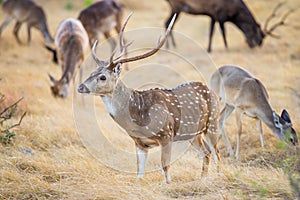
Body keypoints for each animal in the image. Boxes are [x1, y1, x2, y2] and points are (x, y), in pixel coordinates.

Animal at [77, 14, 220, 182]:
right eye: (91, 73)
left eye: (102, 77)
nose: (81, 87)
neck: (138, 117)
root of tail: (211, 90)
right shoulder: (139, 142)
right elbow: (139, 171)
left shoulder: (166, 134)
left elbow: (165, 166)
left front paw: (168, 184)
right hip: (193, 133)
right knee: (206, 152)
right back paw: (202, 179)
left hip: (213, 122)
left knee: (216, 152)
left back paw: (218, 175)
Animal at [164, 0, 292, 52]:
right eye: (261, 36)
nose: (255, 45)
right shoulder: (220, 15)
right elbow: (222, 32)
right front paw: (226, 47)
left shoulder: (213, 15)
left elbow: (211, 32)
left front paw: (209, 48)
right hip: (176, 7)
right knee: (167, 23)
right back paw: (169, 45)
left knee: (169, 24)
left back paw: (173, 45)